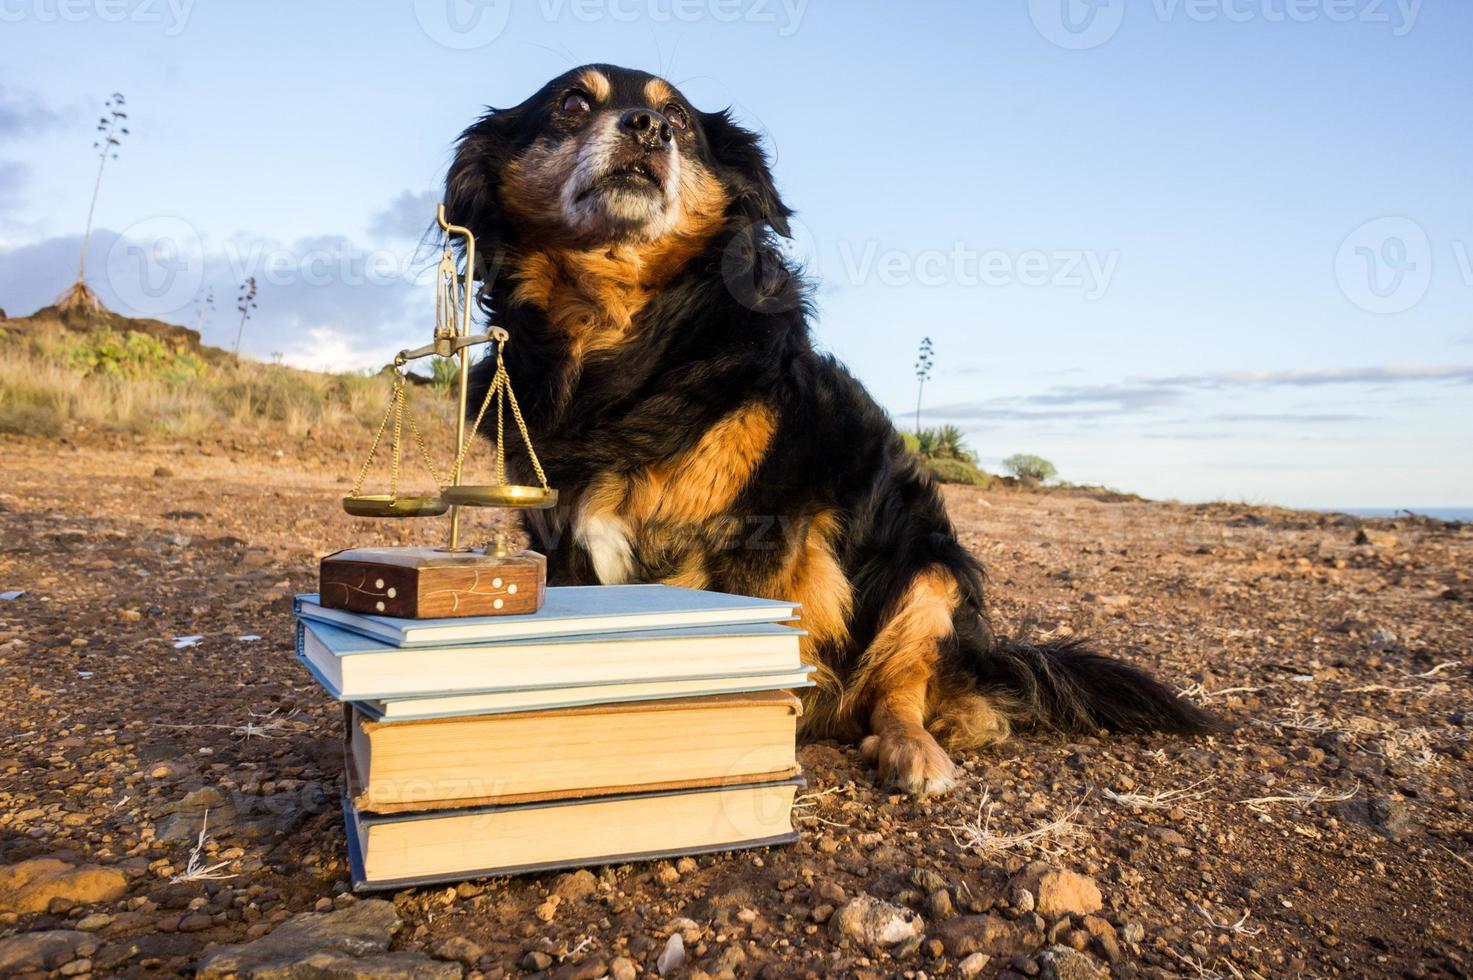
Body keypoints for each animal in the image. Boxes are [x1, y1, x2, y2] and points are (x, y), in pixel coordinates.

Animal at [441, 64, 1225, 789]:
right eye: (573, 103)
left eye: (681, 121)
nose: (646, 128)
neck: (618, 335)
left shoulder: (765, 536)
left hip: (929, 571)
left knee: (902, 688)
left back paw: (917, 747)